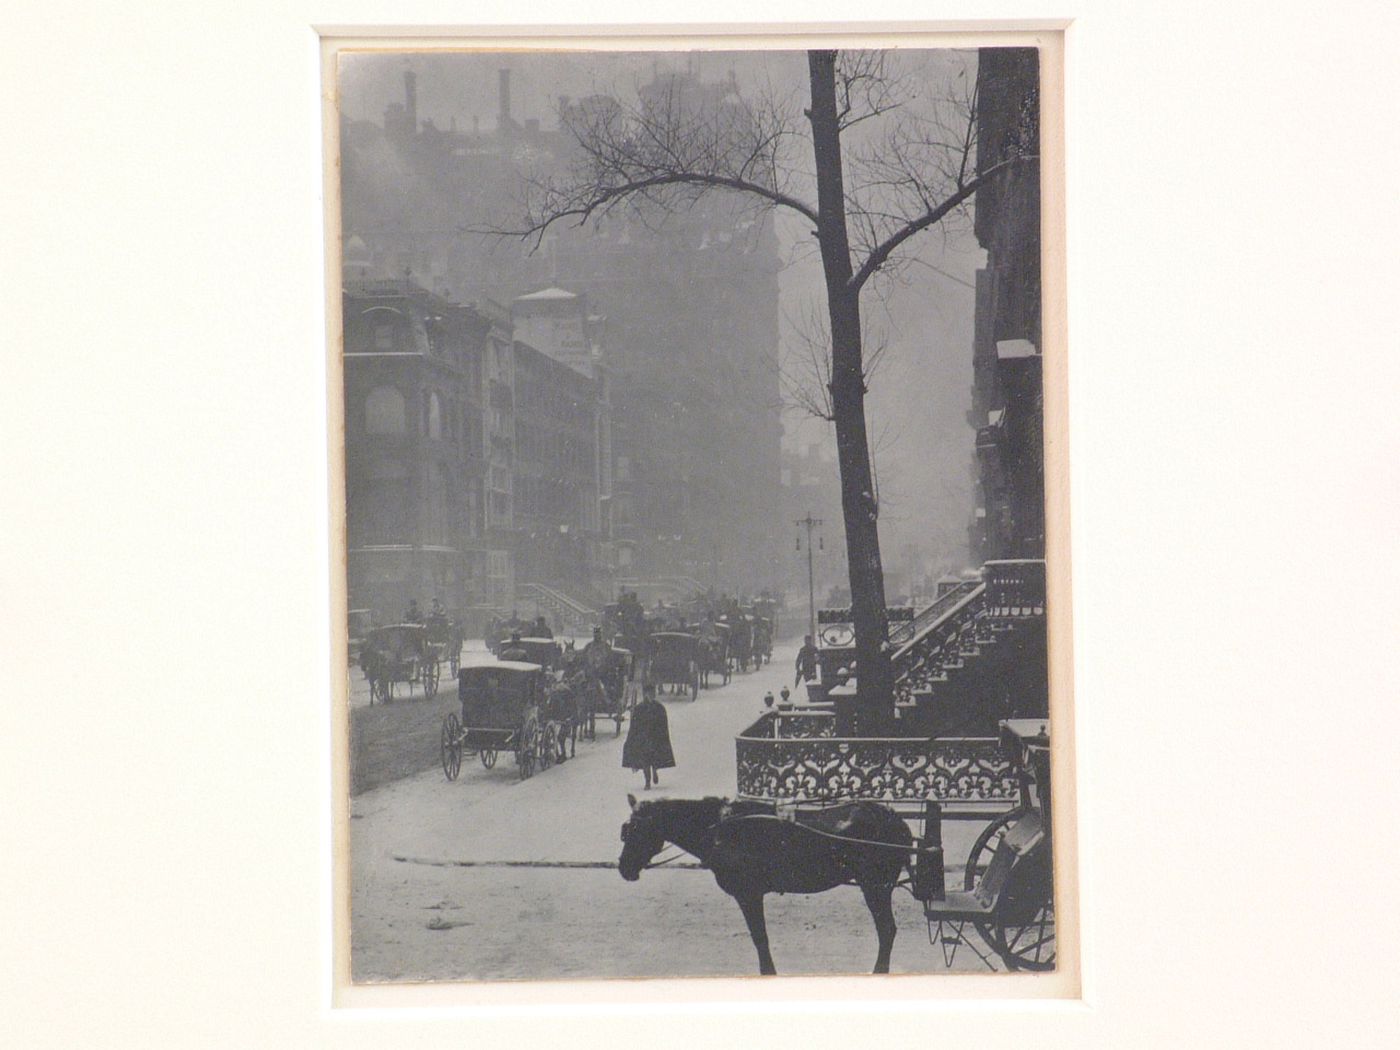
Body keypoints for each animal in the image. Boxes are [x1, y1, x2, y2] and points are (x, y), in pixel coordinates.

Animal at [618, 795, 912, 980]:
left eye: (635, 830)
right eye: (626, 831)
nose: (623, 868)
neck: (721, 829)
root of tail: (895, 819)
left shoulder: (748, 894)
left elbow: (760, 937)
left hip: (875, 886)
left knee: (887, 930)